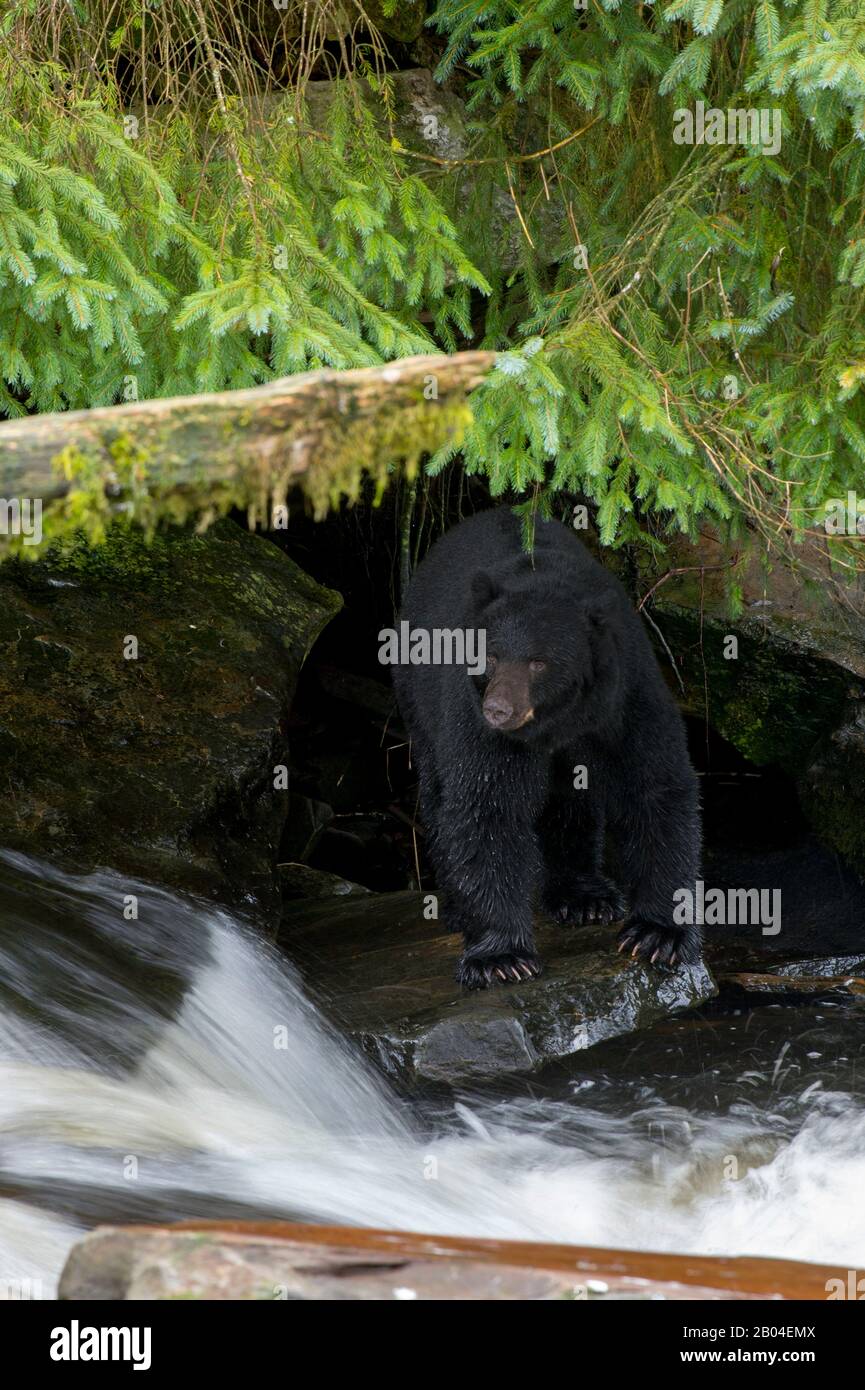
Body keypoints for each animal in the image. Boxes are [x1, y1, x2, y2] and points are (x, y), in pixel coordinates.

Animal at [392, 511, 706, 989]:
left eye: (539, 662)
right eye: (490, 656)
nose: (499, 710)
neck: (560, 721)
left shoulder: (623, 698)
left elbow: (654, 786)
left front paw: (658, 934)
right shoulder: (472, 715)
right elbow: (487, 806)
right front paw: (500, 957)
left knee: (571, 802)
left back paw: (583, 895)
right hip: (417, 693)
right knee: (437, 790)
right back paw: (457, 907)